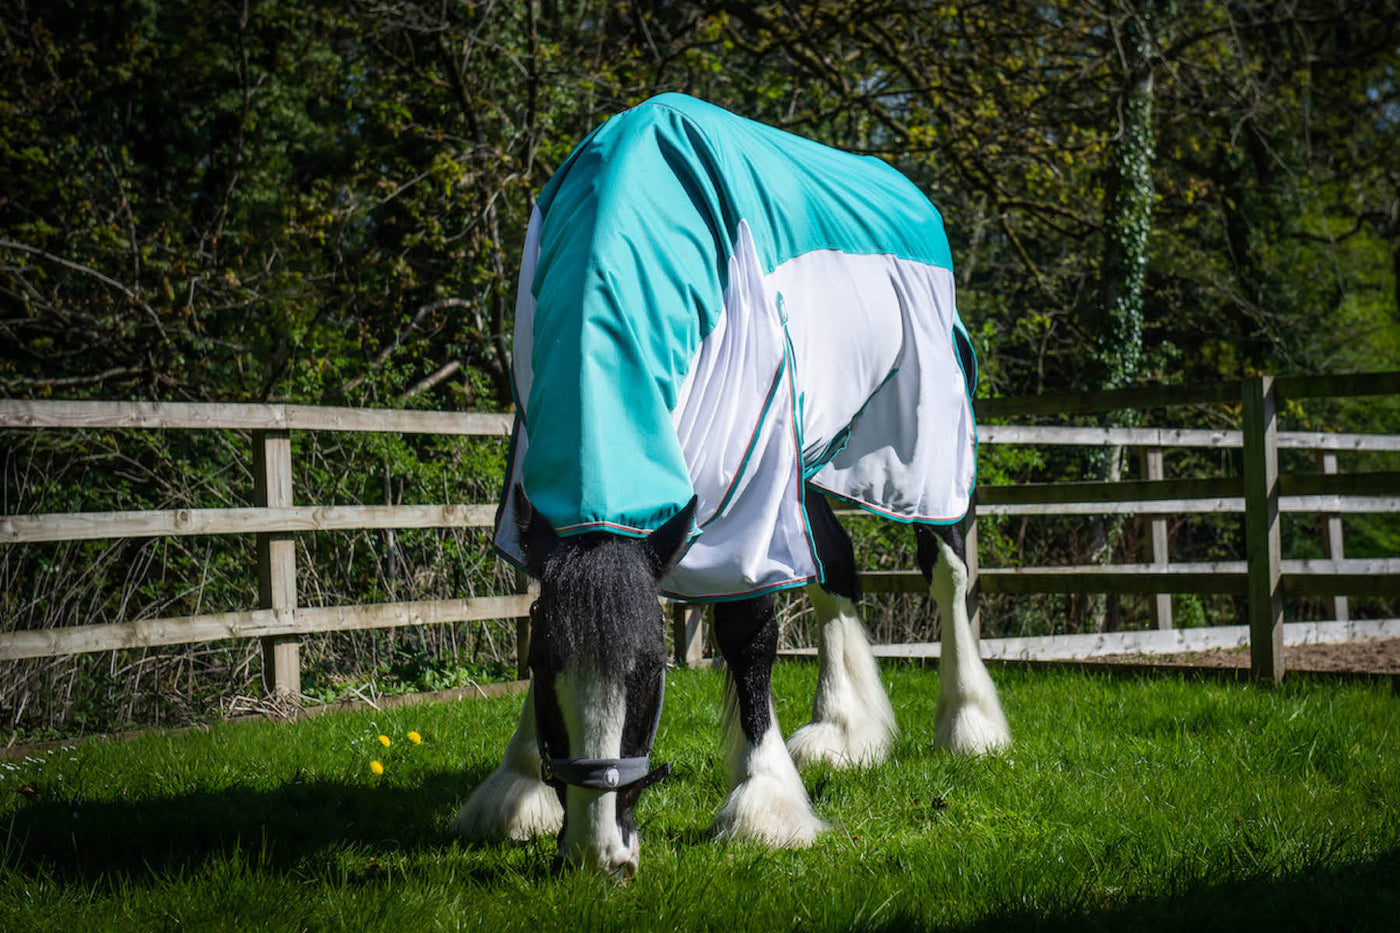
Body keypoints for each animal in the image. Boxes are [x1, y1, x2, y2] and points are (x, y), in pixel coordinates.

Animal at [454, 94, 1010, 878]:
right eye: (541, 666)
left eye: (649, 670)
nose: (599, 855)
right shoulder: (545, 512)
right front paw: (519, 784)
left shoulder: (752, 489)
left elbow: (748, 633)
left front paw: (764, 802)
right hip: (810, 457)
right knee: (834, 564)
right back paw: (843, 728)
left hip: (927, 445)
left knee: (948, 567)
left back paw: (968, 725)